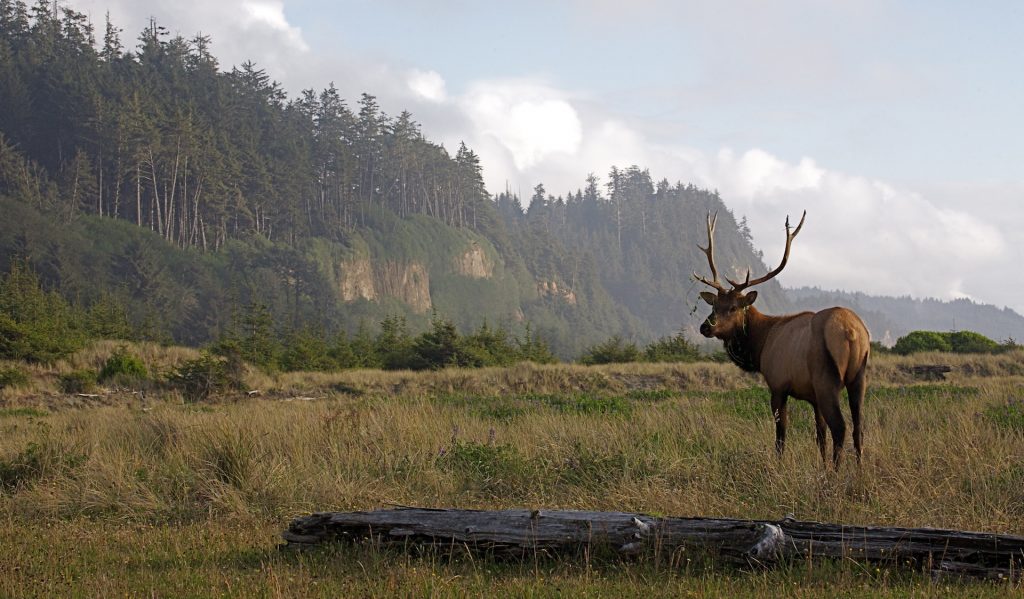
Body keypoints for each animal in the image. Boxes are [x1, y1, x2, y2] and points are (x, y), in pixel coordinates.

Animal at [693, 211, 870, 467]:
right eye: (714, 305)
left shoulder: (778, 385)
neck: (760, 345)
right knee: (858, 427)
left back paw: (838, 473)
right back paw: (858, 469)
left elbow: (781, 434)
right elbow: (820, 435)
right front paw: (822, 467)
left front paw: (780, 465)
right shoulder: (813, 397)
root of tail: (852, 333)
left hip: (827, 379)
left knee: (840, 427)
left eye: (734, 307)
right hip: (859, 377)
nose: (705, 327)